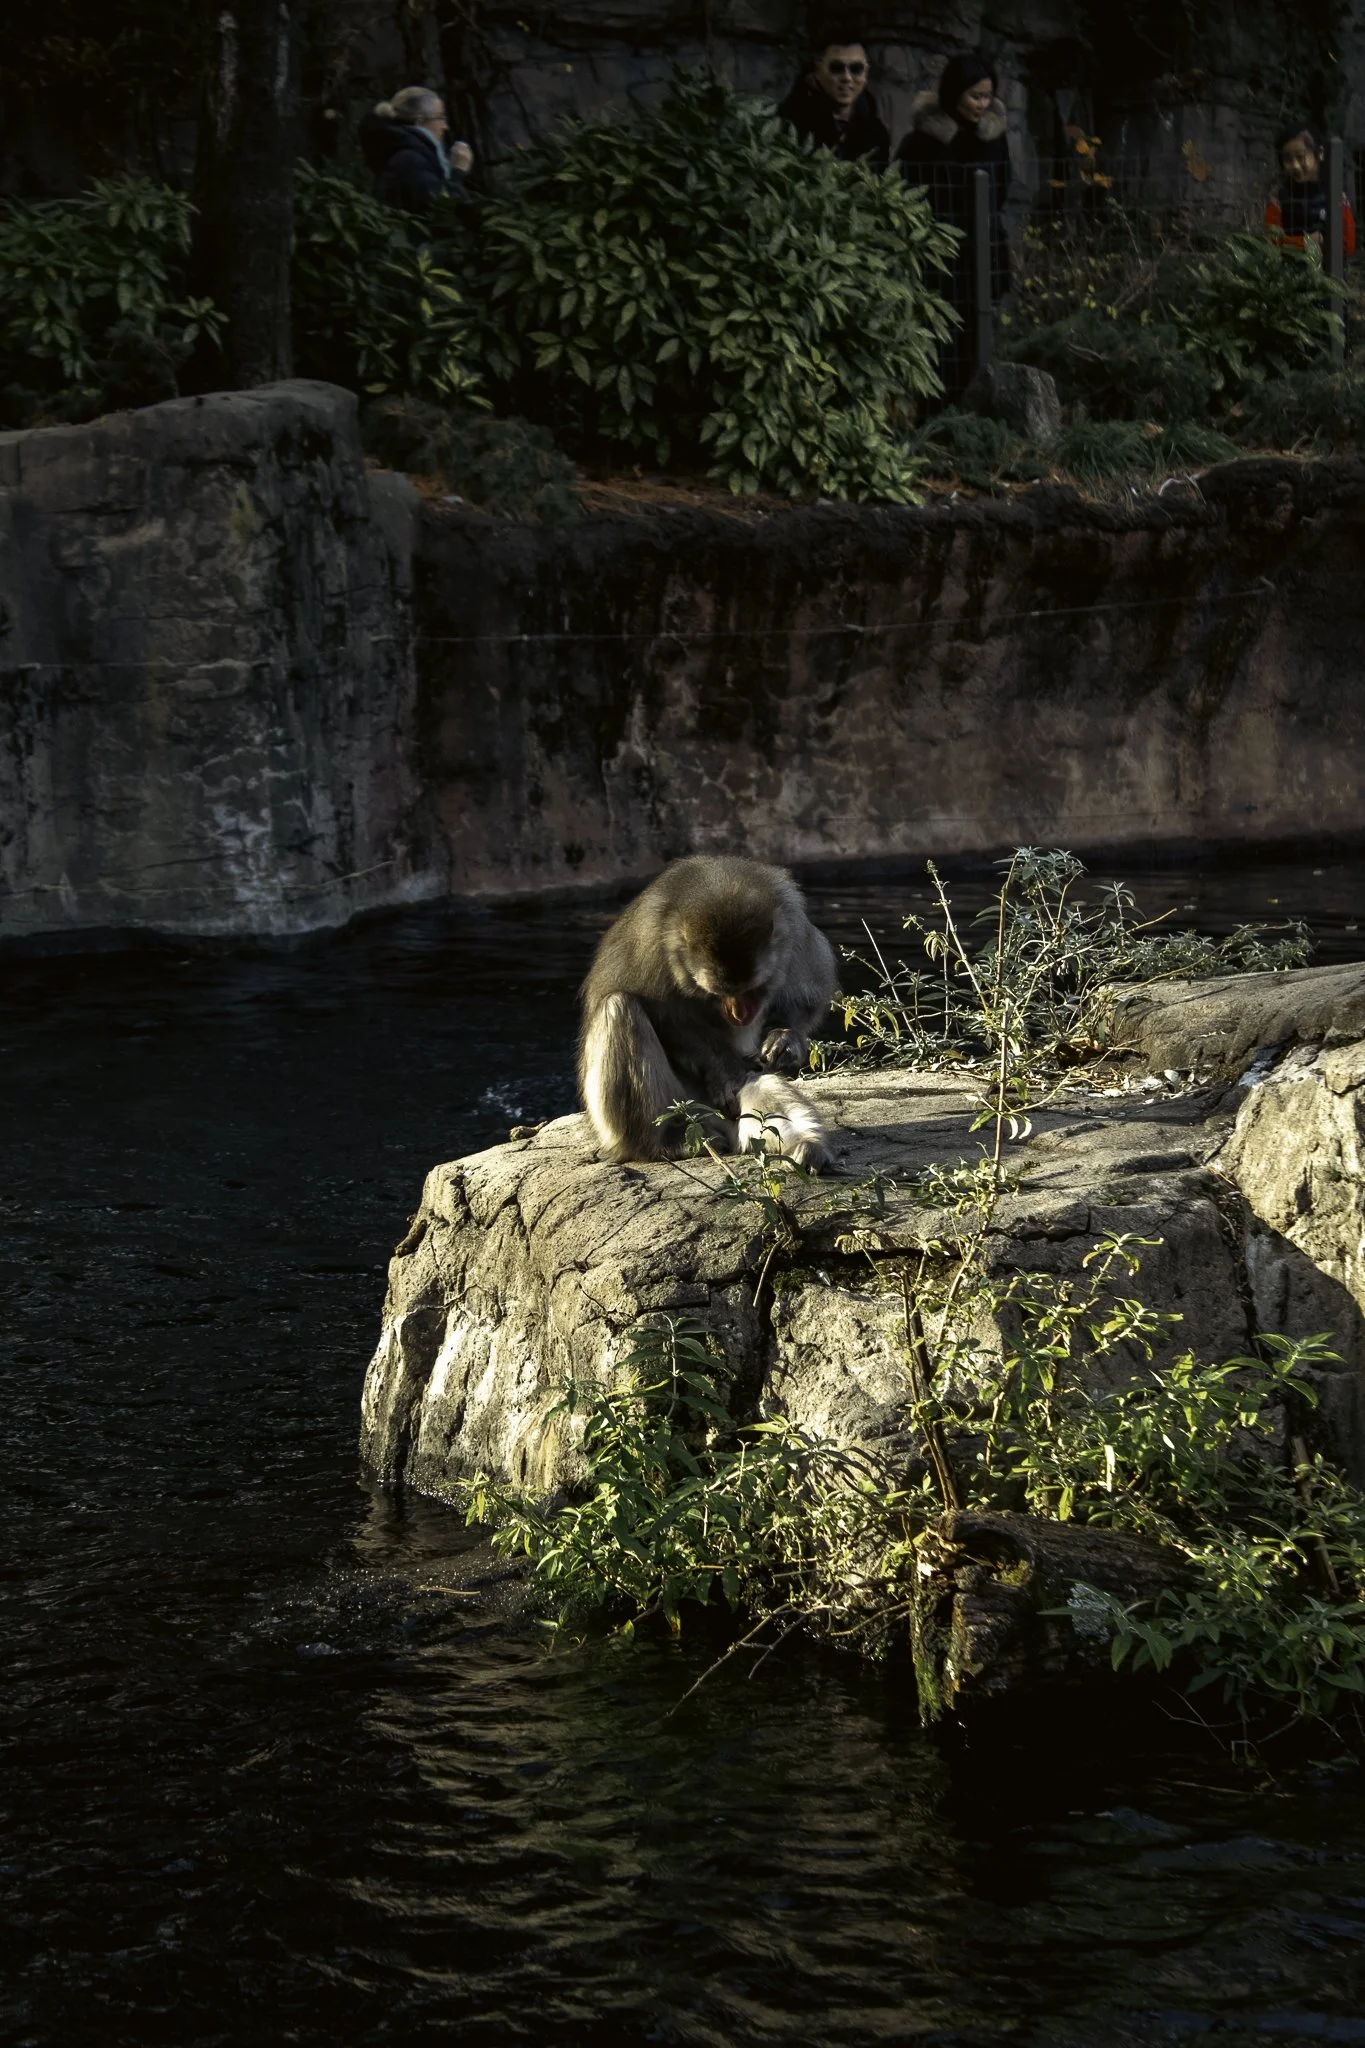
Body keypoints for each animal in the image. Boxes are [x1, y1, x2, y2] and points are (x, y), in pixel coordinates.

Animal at [577, 856, 838, 1171]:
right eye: (718, 993)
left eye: (752, 990)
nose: (740, 1014)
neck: (720, 886)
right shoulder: (648, 943)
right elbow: (666, 1018)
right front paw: (723, 1070)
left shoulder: (794, 924)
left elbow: (806, 996)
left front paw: (786, 1040)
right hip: (678, 1107)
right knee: (620, 1007)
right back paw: (661, 1142)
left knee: (760, 1088)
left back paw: (806, 1146)